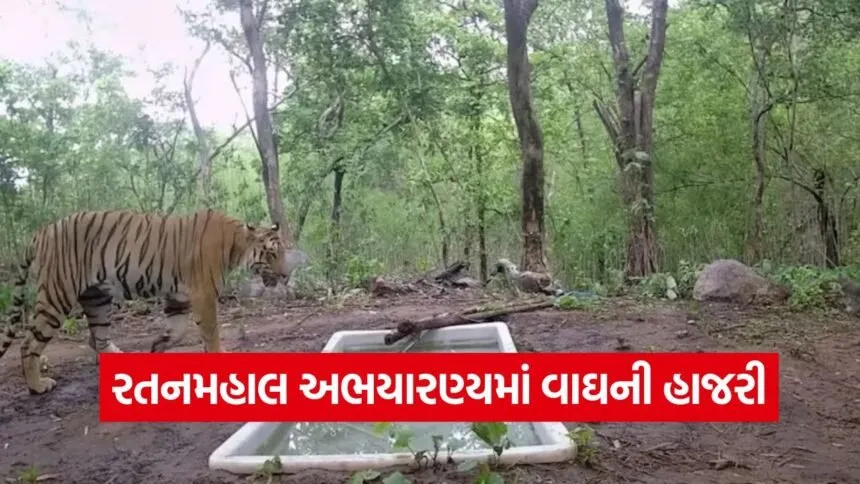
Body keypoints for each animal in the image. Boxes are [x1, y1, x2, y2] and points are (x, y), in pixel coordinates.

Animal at [0, 208, 303, 395]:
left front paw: (157, 346)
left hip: (97, 298)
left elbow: (176, 331)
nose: (286, 276)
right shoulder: (203, 294)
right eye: (272, 254)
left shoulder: (179, 297)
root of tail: (42, 231)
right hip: (57, 294)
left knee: (97, 338)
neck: (236, 244)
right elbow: (211, 333)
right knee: (29, 344)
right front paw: (219, 357)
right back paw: (37, 386)